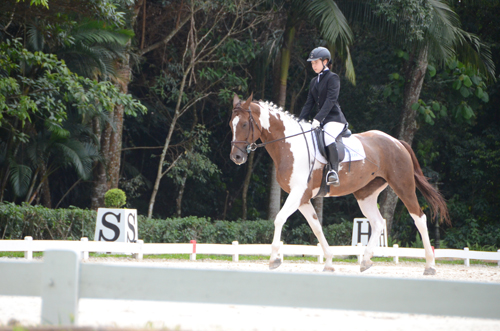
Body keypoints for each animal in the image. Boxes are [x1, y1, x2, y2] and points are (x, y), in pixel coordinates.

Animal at [229, 93, 450, 274]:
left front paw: (274, 259)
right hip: (365, 195)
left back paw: (430, 265)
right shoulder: (303, 198)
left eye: (244, 125)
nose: (236, 157)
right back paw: (365, 261)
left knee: (419, 218)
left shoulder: (298, 194)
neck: (289, 144)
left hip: (403, 186)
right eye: (231, 124)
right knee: (378, 222)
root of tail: (397, 142)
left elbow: (279, 219)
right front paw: (328, 262)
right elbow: (316, 227)